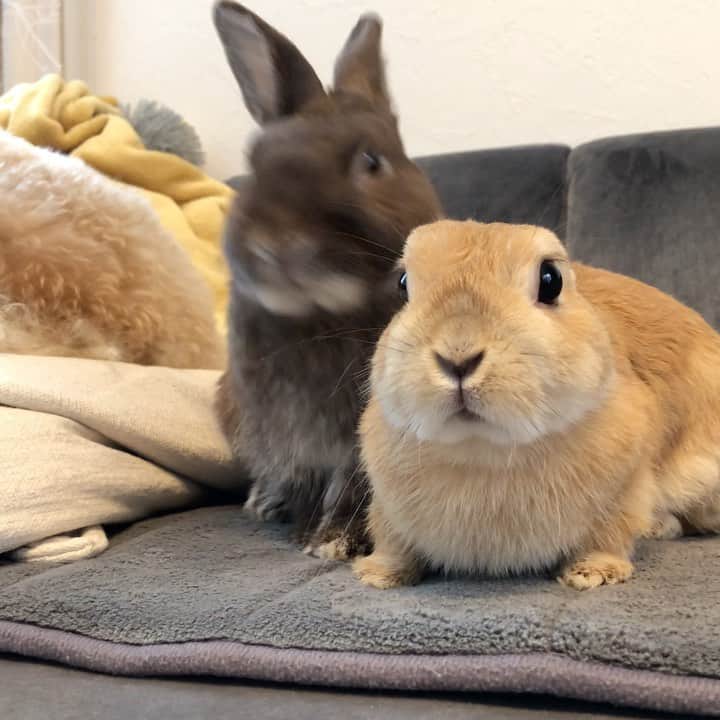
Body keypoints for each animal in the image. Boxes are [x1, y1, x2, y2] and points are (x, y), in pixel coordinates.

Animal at [212, 2, 442, 556]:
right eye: (255, 166)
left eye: (371, 161)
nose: (278, 242)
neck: (322, 314)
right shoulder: (290, 434)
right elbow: (305, 477)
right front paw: (306, 528)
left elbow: (353, 483)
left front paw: (332, 541)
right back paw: (264, 502)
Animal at [353, 219, 720, 590]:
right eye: (403, 285)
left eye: (550, 280)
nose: (458, 356)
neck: (483, 452)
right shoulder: (387, 509)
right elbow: (391, 540)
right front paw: (377, 574)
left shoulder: (623, 491)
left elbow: (609, 534)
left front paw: (591, 574)